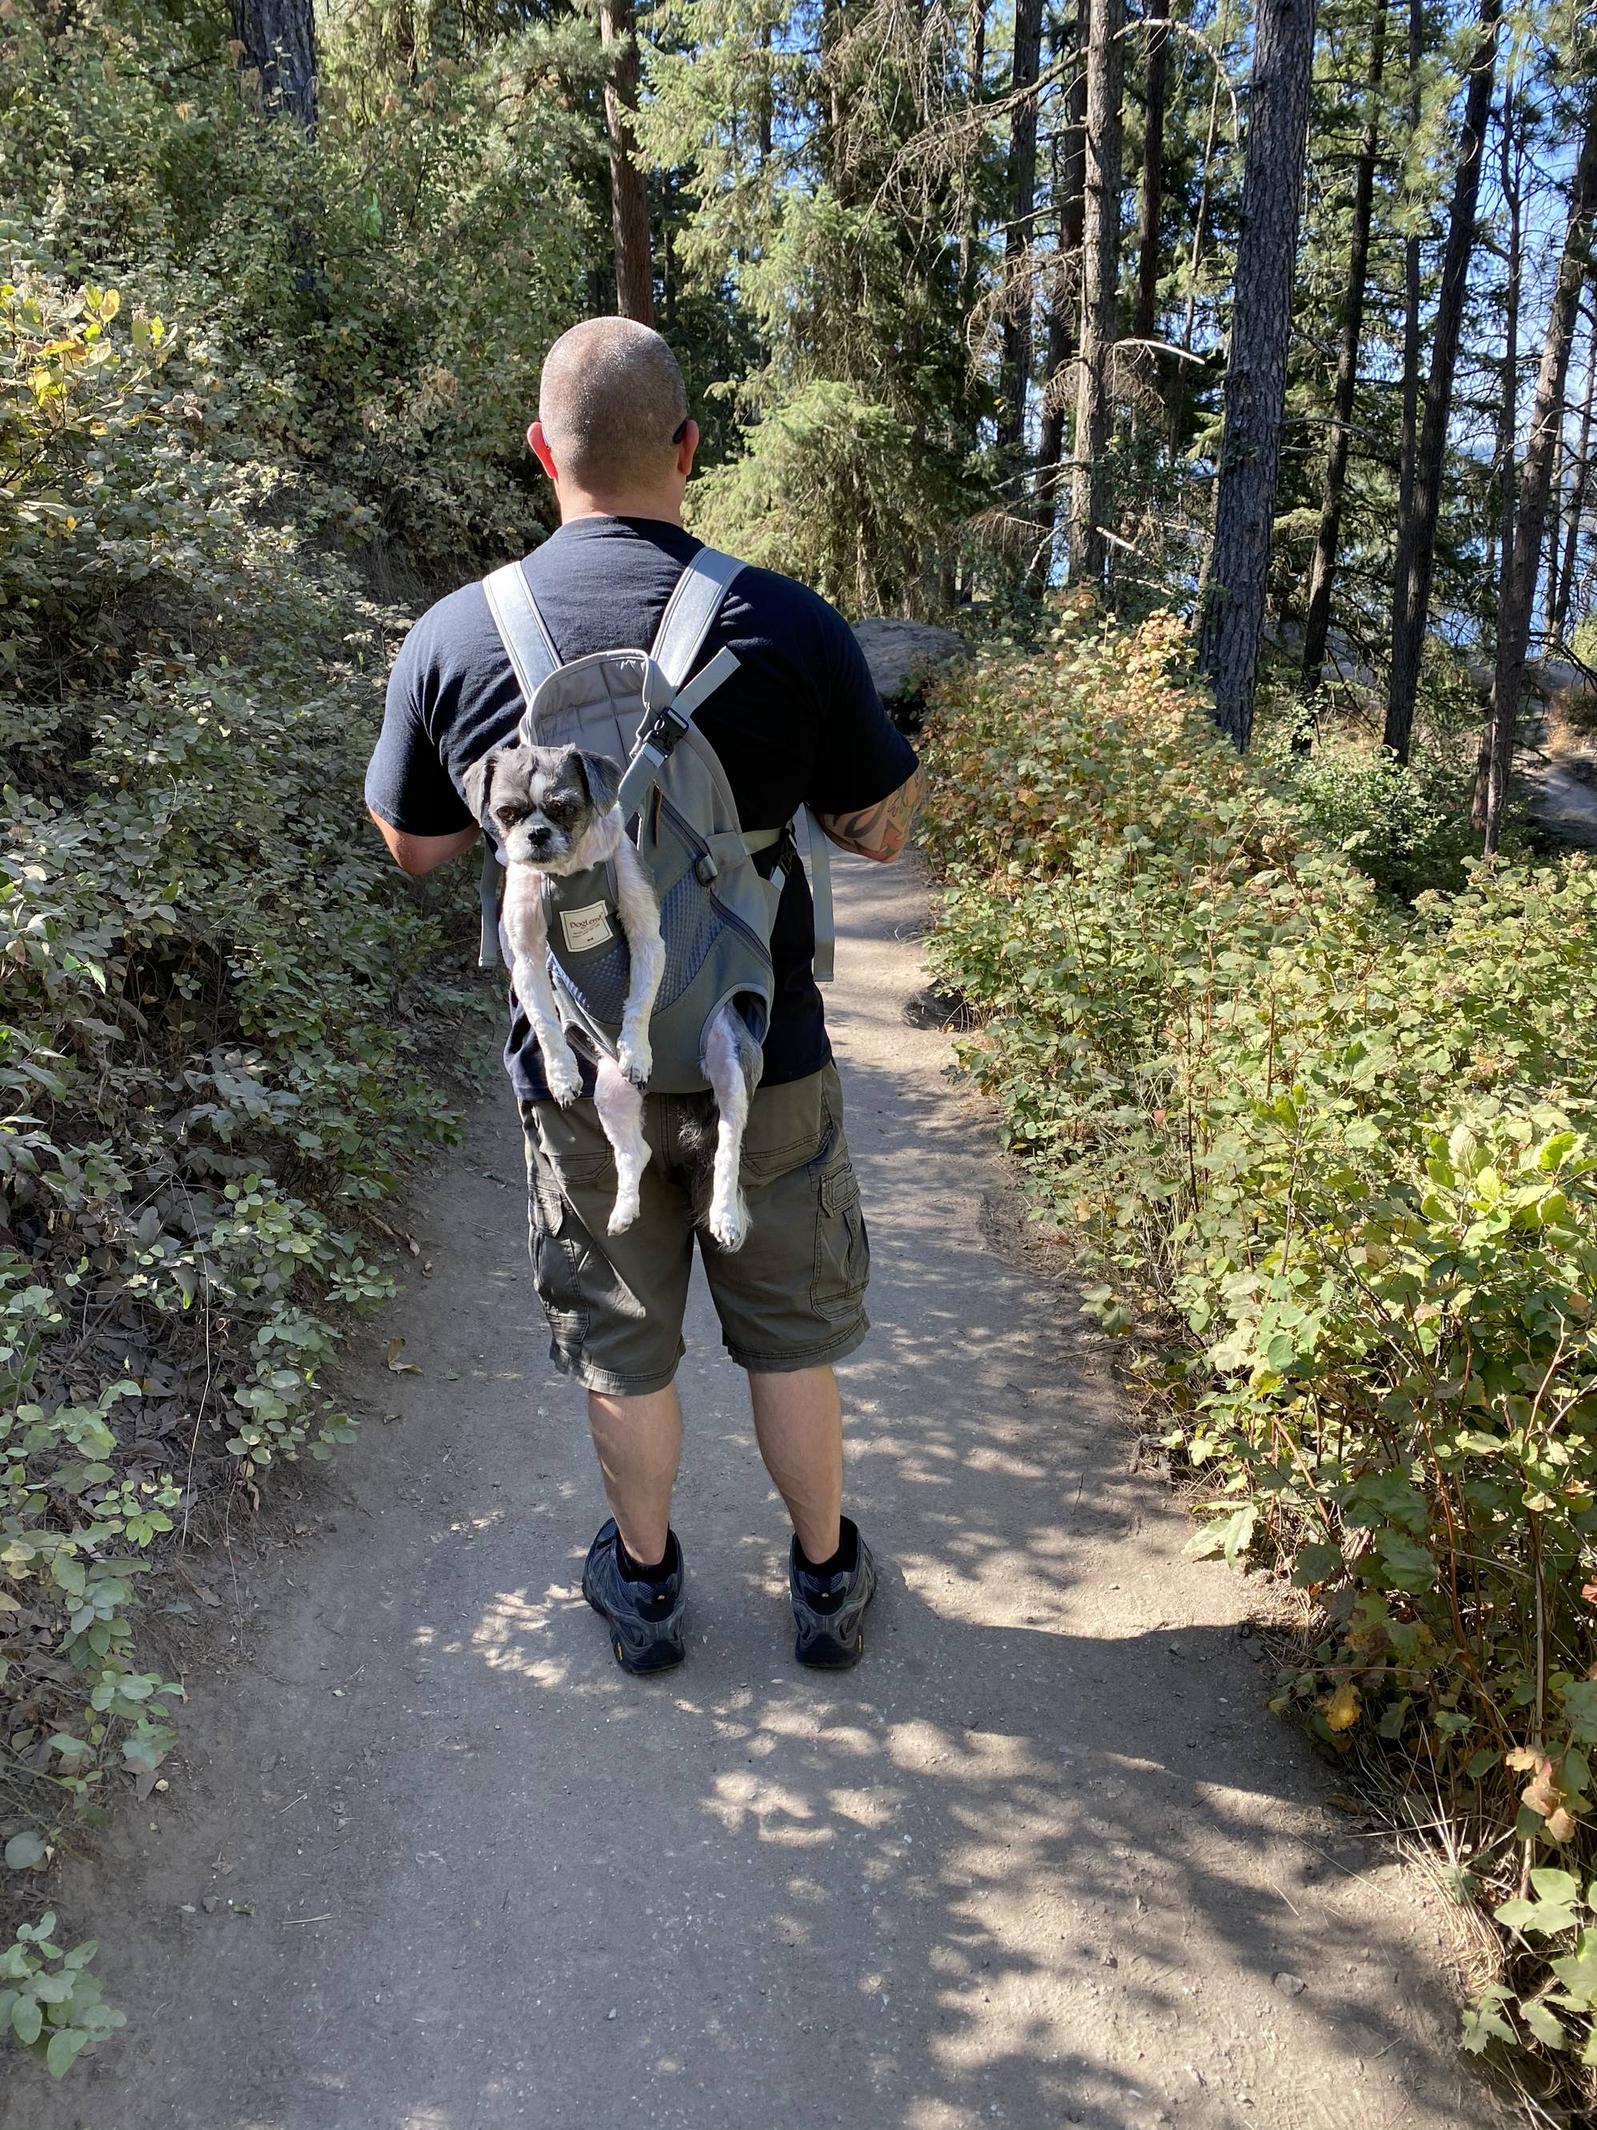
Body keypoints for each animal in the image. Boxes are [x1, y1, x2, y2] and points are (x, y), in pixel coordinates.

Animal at [466, 741, 758, 1252]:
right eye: (506, 813)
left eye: (565, 809)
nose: (536, 834)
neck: (569, 878)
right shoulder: (527, 960)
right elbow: (545, 1023)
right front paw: (561, 1075)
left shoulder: (646, 936)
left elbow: (638, 1004)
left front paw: (635, 1051)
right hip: (609, 1095)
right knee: (636, 1152)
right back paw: (624, 1212)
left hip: (731, 1067)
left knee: (727, 1147)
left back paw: (724, 1216)